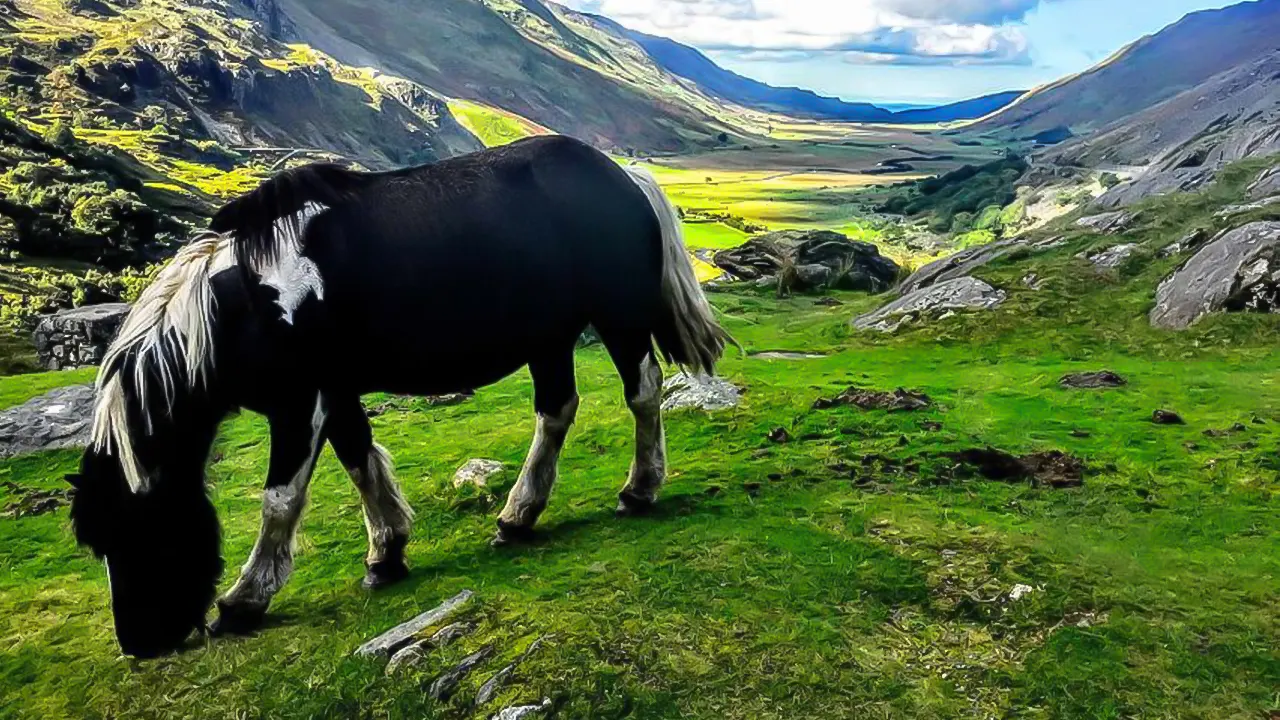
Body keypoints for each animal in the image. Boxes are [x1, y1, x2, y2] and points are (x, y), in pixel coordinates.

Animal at [67, 134, 732, 655]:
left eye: (134, 532)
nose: (139, 644)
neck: (246, 303)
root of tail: (624, 176)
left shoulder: (299, 403)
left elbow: (280, 499)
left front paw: (245, 599)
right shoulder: (334, 394)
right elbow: (360, 462)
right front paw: (386, 554)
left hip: (619, 319)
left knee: (642, 392)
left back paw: (639, 489)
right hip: (549, 338)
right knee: (556, 410)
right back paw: (518, 516)